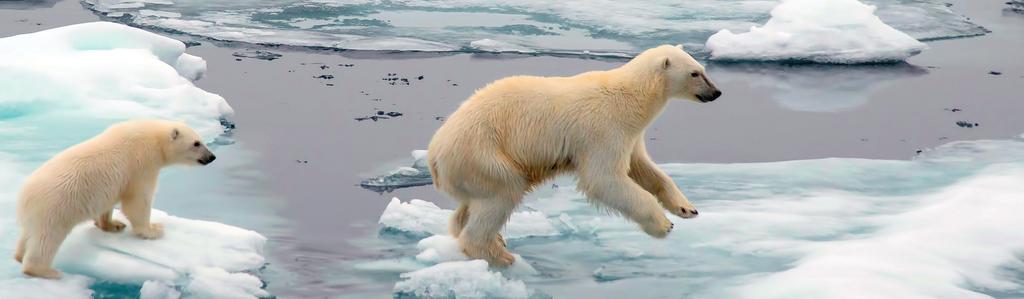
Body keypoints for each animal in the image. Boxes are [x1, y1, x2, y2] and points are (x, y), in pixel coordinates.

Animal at [13, 119, 218, 278]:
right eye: (196, 143)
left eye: (201, 140)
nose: (212, 157)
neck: (153, 137)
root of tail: (23, 196)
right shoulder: (142, 163)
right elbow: (138, 200)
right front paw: (154, 229)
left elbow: (109, 204)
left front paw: (113, 225)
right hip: (54, 208)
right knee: (47, 239)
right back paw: (45, 271)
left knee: (28, 234)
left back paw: (19, 255)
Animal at [423, 45, 720, 266]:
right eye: (695, 73)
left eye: (704, 69)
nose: (716, 92)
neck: (630, 98)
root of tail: (434, 155)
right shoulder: (603, 129)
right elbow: (604, 179)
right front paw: (663, 224)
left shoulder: (630, 135)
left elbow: (644, 168)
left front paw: (686, 208)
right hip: (484, 154)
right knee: (504, 192)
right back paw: (501, 255)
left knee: (470, 206)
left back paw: (493, 240)